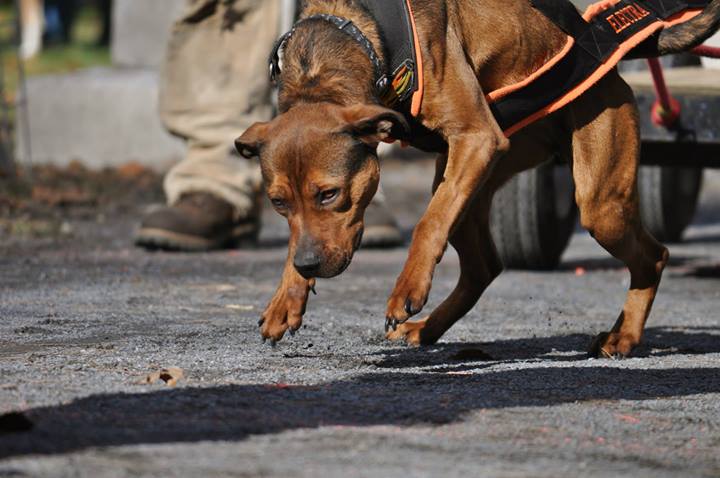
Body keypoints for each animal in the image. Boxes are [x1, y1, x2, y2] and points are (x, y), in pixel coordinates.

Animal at [238, 0, 720, 358]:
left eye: (329, 194)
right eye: (278, 203)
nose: (308, 266)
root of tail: (606, 44)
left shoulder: (477, 136)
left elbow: (426, 224)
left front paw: (407, 287)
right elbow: (301, 241)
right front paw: (287, 294)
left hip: (598, 204)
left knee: (653, 256)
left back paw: (624, 336)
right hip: (466, 182)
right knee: (483, 266)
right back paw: (426, 330)